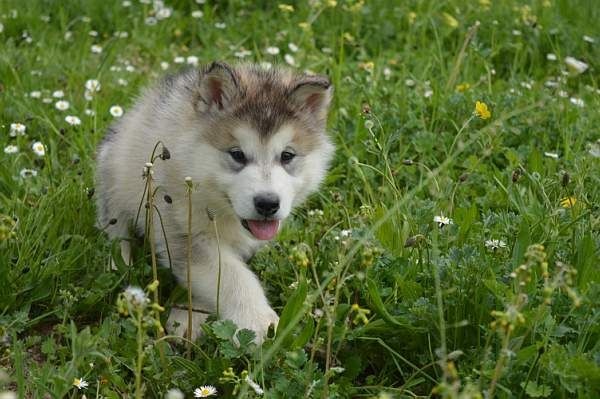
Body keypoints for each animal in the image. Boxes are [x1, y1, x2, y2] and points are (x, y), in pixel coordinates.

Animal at [96, 61, 336, 340]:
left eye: (287, 156)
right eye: (237, 154)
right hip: (113, 168)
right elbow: (232, 276)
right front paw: (258, 321)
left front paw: (190, 316)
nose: (267, 204)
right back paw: (119, 265)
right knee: (115, 226)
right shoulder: (185, 231)